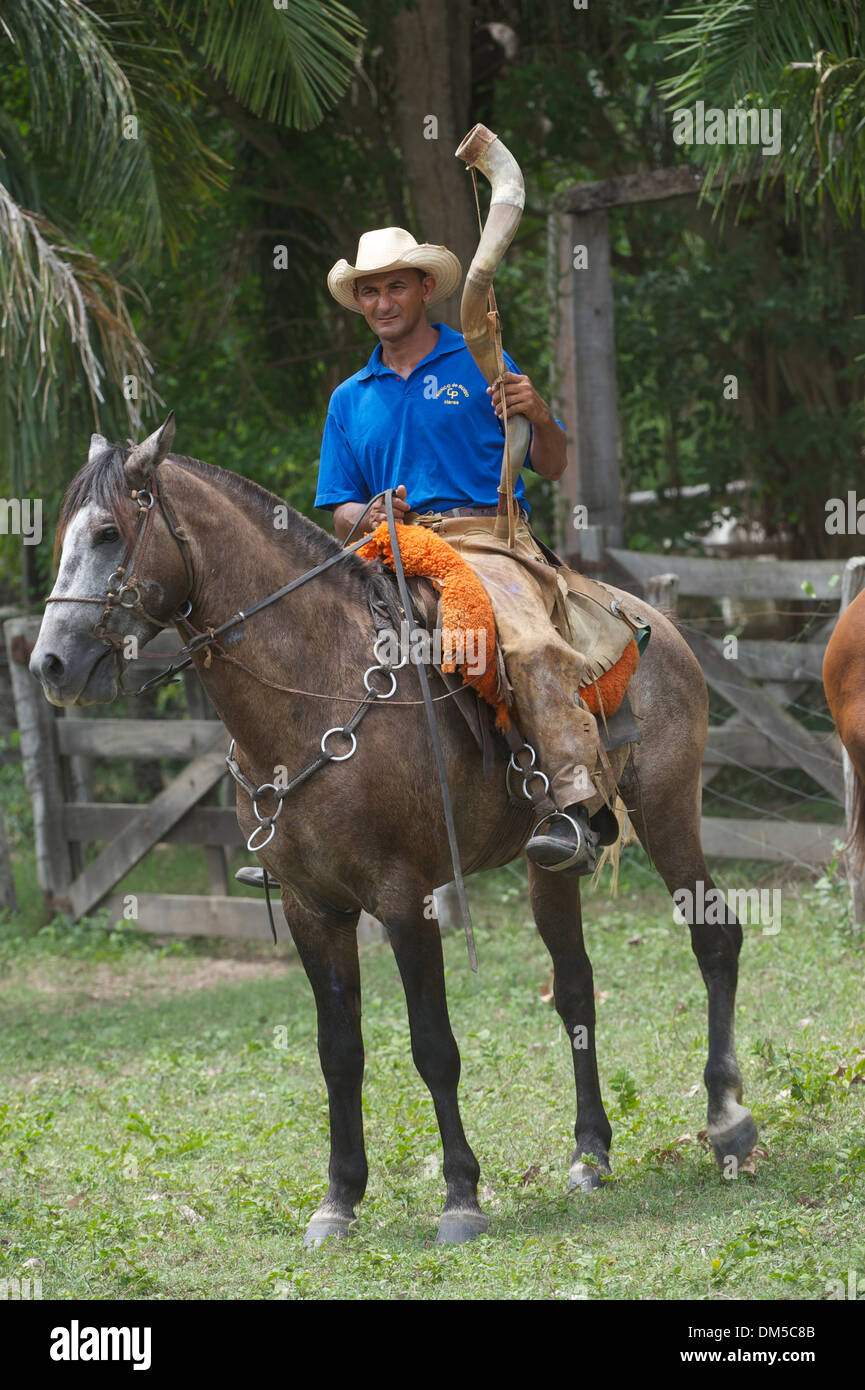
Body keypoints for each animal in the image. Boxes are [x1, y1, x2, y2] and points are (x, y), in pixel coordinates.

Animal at [28, 414, 756, 1251]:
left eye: (110, 532)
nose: (49, 663)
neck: (317, 685)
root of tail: (651, 620)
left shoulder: (406, 898)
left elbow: (432, 1046)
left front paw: (461, 1197)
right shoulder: (313, 908)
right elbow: (338, 1052)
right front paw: (338, 1199)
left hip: (668, 808)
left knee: (714, 939)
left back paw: (728, 1122)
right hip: (548, 863)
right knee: (575, 988)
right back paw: (589, 1154)